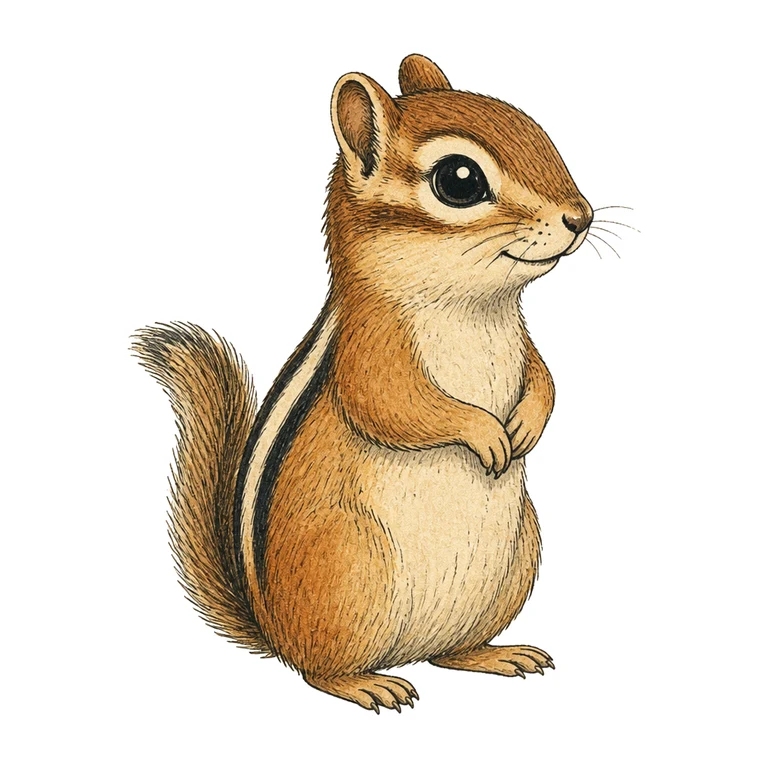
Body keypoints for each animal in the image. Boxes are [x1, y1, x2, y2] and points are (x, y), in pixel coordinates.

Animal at [134, 54, 593, 713]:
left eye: (538, 131)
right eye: (460, 180)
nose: (581, 217)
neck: (472, 306)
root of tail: (271, 626)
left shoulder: (525, 343)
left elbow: (545, 378)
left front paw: (526, 423)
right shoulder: (372, 351)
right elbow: (394, 406)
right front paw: (485, 432)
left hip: (518, 557)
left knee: (451, 652)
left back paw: (497, 654)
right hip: (347, 565)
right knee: (316, 670)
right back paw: (368, 683)